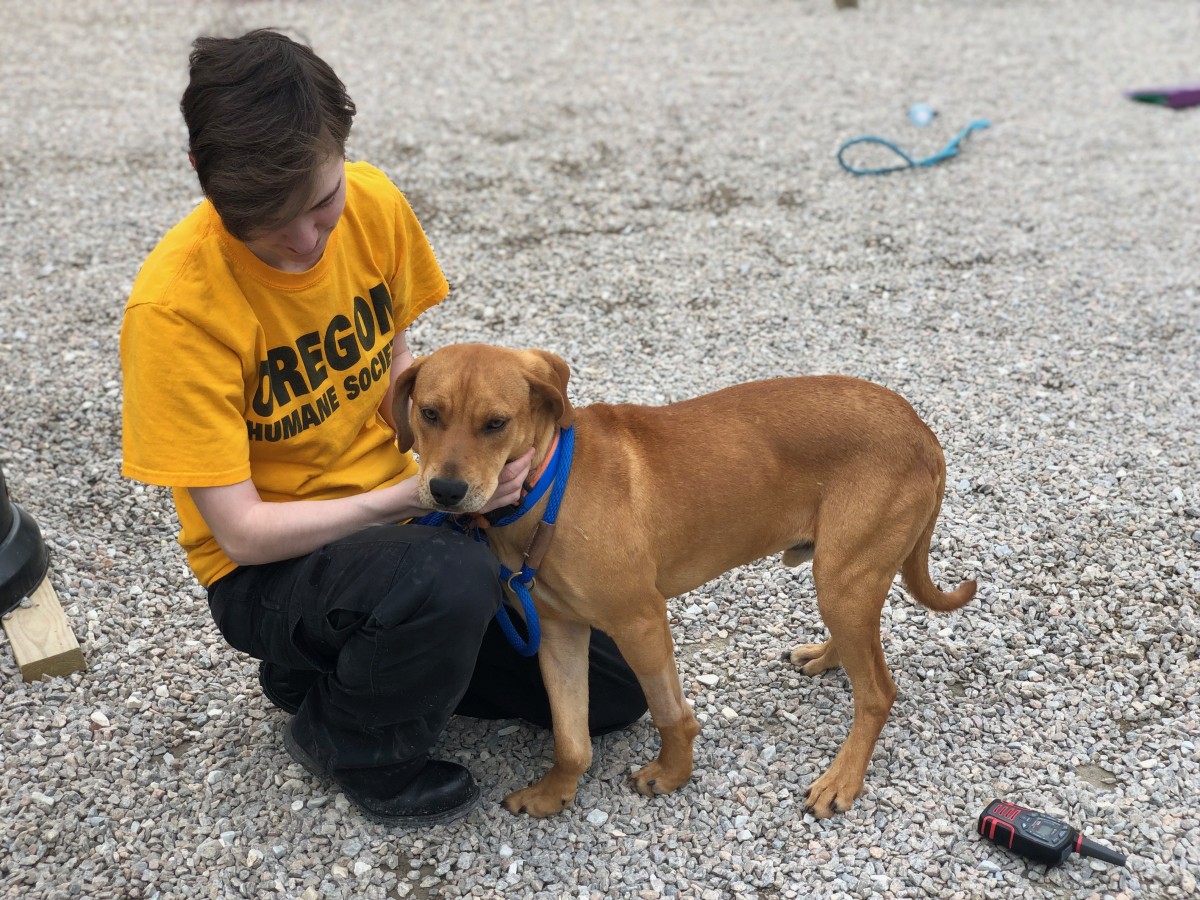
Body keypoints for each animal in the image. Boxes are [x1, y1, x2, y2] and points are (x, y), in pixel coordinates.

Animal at [393, 343, 976, 819]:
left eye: (496, 423)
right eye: (430, 413)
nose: (445, 491)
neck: (546, 485)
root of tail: (920, 428)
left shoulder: (641, 622)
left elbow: (670, 713)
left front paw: (672, 775)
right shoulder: (558, 633)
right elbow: (569, 737)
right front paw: (553, 795)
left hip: (842, 578)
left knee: (877, 692)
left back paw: (842, 781)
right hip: (841, 577)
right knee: (863, 651)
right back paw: (827, 656)